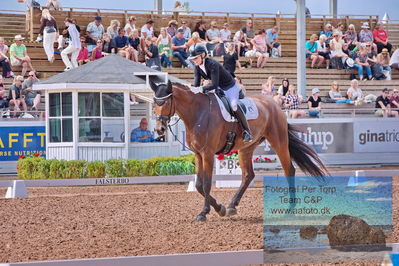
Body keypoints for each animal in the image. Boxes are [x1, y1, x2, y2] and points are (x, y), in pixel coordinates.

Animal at [150, 80, 328, 221]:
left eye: (164, 102)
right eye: (154, 103)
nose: (159, 130)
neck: (197, 113)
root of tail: (274, 104)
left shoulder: (207, 153)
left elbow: (206, 184)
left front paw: (207, 212)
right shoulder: (198, 154)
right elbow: (199, 185)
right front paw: (218, 209)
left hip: (279, 141)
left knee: (289, 169)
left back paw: (290, 209)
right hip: (246, 148)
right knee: (248, 175)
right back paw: (232, 206)